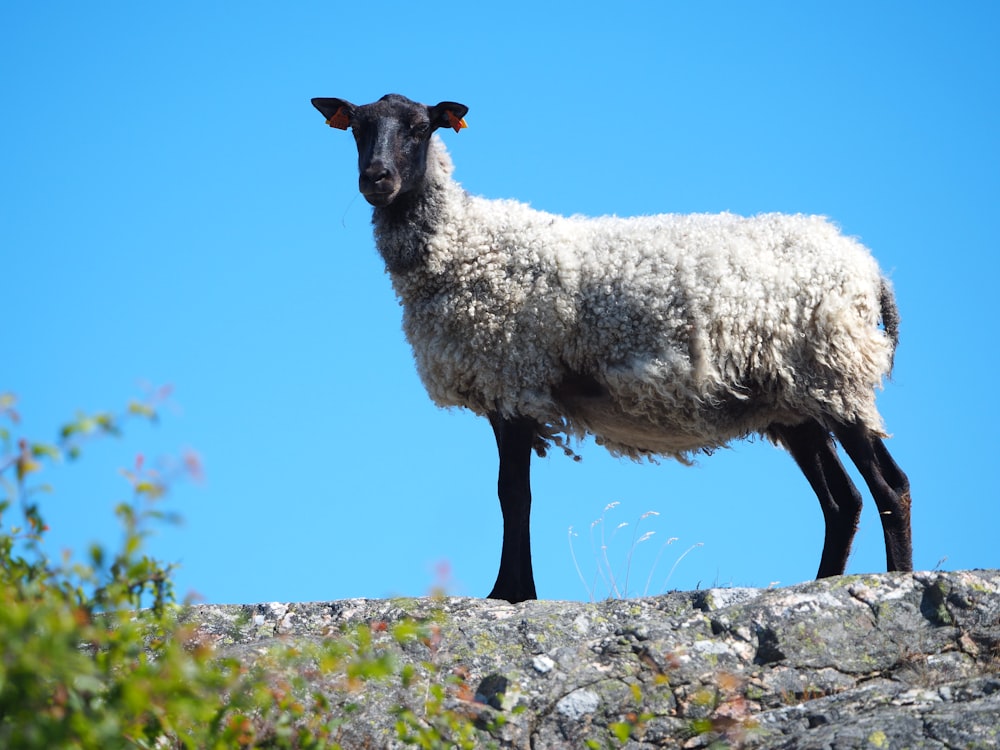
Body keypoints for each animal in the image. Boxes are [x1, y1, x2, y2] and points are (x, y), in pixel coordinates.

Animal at [312, 92, 916, 604]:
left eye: (420, 128)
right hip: (795, 399)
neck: (463, 242)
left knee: (891, 487)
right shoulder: (508, 385)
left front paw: (511, 593)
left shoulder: (513, 378)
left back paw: (898, 581)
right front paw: (514, 590)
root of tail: (869, 268)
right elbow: (514, 495)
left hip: (833, 372)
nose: (376, 178)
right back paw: (822, 584)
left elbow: (513, 494)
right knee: (843, 501)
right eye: (357, 128)